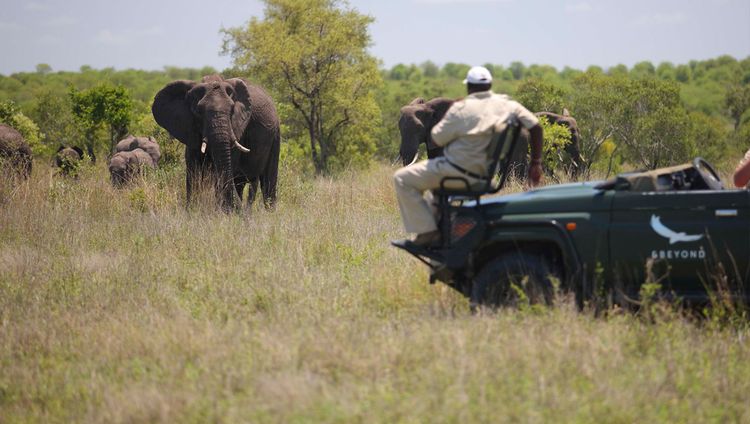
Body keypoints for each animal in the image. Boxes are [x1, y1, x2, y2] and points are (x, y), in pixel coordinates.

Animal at [153, 75, 282, 211]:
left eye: (232, 110)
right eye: (198, 111)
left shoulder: (237, 130)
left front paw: (222, 212)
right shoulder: (191, 131)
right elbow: (193, 173)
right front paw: (192, 210)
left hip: (275, 134)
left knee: (268, 180)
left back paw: (269, 212)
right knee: (241, 183)